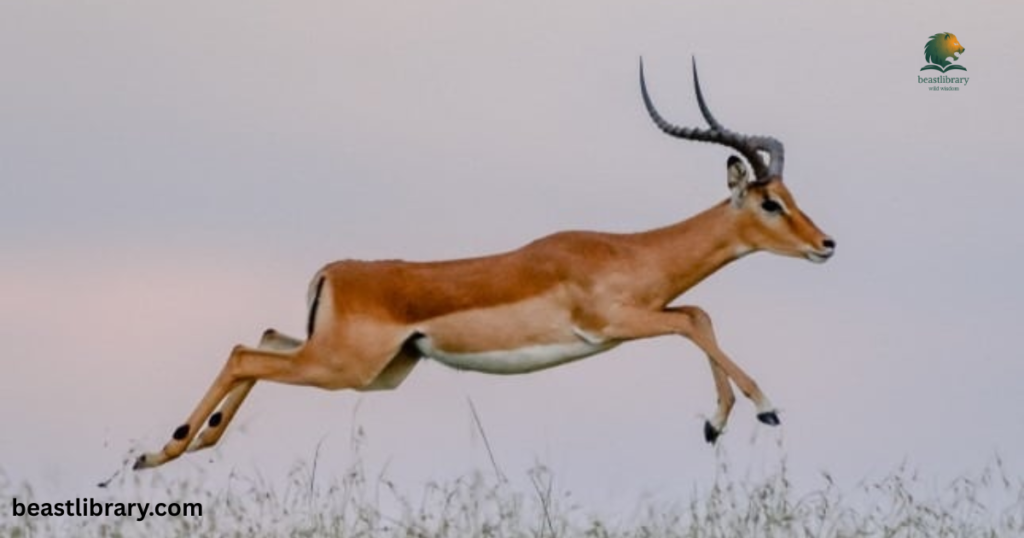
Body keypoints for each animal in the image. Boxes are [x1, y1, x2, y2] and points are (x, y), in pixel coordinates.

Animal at [134, 59, 835, 470]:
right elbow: (693, 321)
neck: (628, 252)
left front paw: (716, 426)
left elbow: (700, 314)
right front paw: (765, 408)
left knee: (258, 341)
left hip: (368, 370)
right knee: (242, 354)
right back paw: (164, 450)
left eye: (792, 195)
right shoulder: (615, 325)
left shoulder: (643, 315)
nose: (826, 244)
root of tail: (334, 272)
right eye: (770, 202)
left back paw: (185, 446)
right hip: (340, 367)